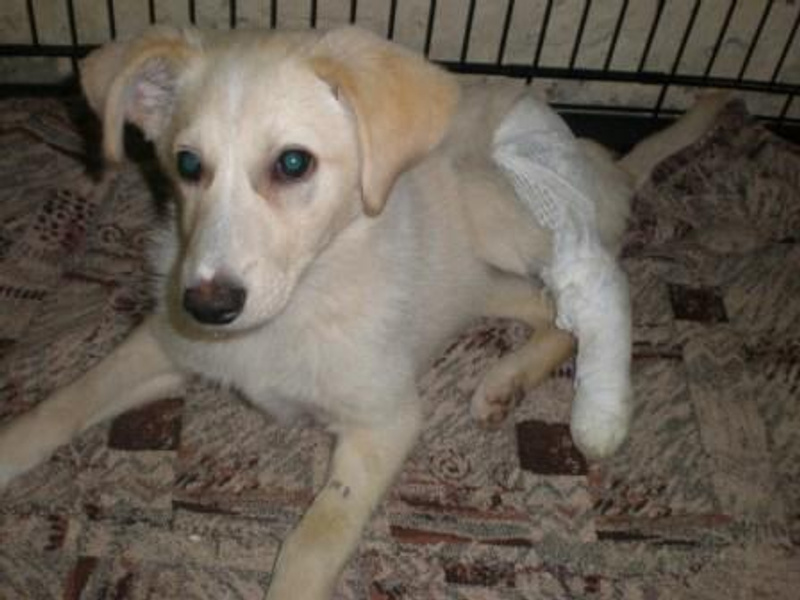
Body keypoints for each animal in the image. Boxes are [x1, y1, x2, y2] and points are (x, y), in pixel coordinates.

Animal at [0, 26, 726, 599]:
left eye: (293, 163)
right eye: (186, 164)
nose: (208, 305)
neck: (302, 301)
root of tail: (608, 167)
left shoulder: (386, 422)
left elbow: (314, 538)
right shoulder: (165, 340)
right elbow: (63, 403)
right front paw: (10, 449)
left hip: (500, 206)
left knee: (596, 282)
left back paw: (588, 408)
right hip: (474, 274)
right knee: (541, 305)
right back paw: (505, 381)